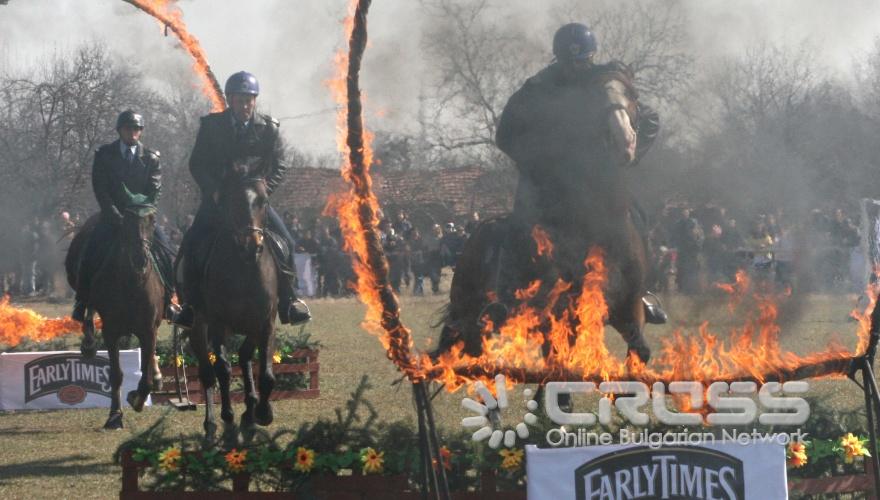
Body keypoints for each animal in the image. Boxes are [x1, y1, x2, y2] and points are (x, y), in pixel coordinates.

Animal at [64, 197, 164, 428]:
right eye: (126, 221)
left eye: (152, 220)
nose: (140, 258)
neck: (132, 283)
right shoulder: (111, 332)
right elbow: (116, 374)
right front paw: (115, 415)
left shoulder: (148, 330)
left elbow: (145, 375)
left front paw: (138, 397)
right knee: (88, 308)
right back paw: (88, 344)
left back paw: (157, 376)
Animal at [185, 165, 278, 442]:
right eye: (232, 201)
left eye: (263, 201)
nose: (251, 246)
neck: (244, 269)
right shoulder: (218, 324)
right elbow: (223, 370)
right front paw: (228, 418)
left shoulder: (265, 322)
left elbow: (266, 373)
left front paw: (262, 413)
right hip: (198, 326)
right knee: (207, 373)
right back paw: (212, 424)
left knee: (245, 356)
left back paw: (250, 412)